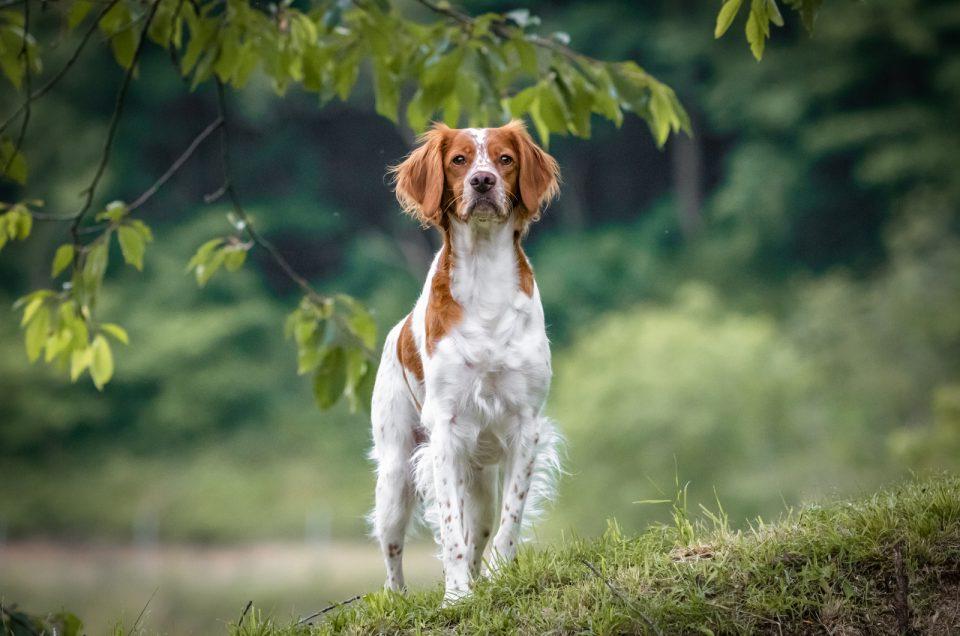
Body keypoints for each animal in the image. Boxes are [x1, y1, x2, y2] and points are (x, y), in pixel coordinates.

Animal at [368, 119, 564, 600]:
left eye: (505, 159)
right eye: (459, 160)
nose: (483, 181)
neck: (484, 276)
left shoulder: (525, 425)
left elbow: (510, 520)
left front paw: (497, 577)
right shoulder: (445, 430)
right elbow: (451, 530)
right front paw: (456, 596)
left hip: (479, 481)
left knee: (482, 527)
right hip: (396, 474)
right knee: (393, 548)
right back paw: (399, 596)